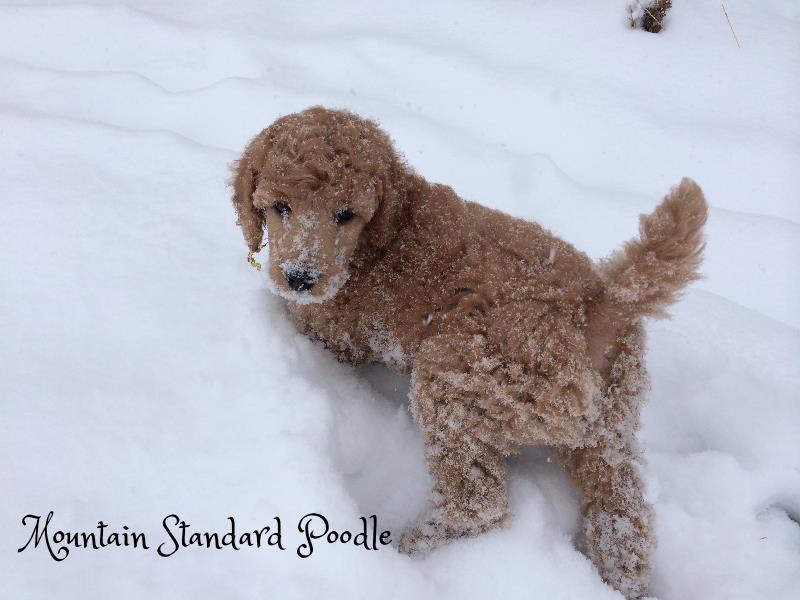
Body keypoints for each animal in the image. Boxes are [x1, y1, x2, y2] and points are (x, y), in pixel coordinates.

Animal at [230, 105, 708, 596]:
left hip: (458, 377)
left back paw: (410, 547)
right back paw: (623, 577)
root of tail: (594, 307)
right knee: (622, 513)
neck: (384, 236)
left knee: (478, 503)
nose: (300, 277)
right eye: (280, 207)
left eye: (346, 215)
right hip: (608, 425)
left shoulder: (333, 332)